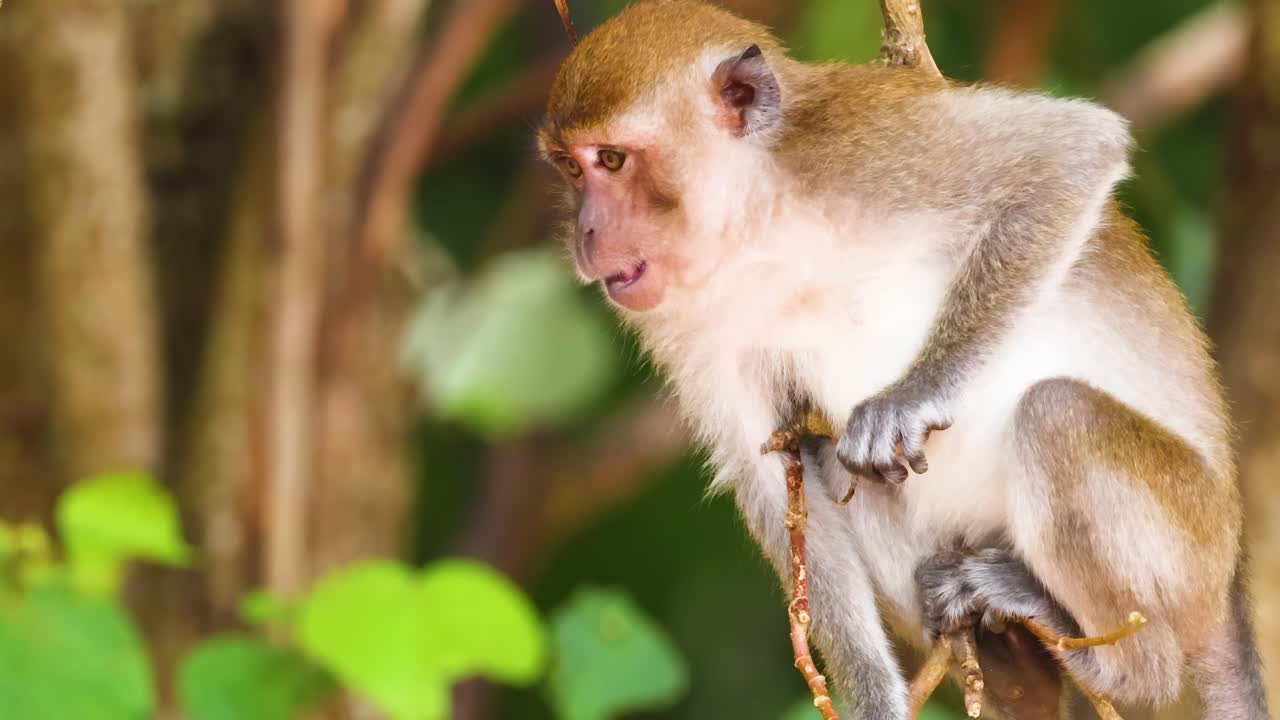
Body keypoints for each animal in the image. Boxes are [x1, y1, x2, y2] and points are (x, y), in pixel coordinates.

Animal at [537, 1, 1269, 718]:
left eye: (612, 160)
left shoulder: (866, 145)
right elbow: (770, 477)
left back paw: (1127, 669)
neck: (758, 224)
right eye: (572, 169)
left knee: (1057, 413)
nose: (586, 233)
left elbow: (1073, 150)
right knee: (832, 460)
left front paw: (911, 398)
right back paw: (1017, 678)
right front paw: (876, 702)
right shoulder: (684, 321)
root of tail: (1232, 567)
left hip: (1188, 542)